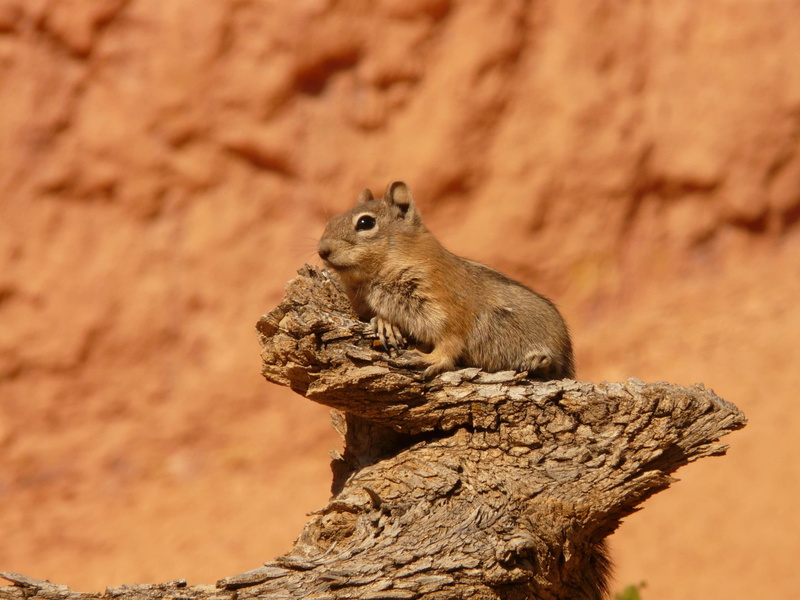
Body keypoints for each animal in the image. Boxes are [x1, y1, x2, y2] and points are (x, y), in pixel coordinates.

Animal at [317, 181, 575, 380]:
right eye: (331, 220)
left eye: (365, 223)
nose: (322, 250)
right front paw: (384, 323)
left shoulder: (448, 311)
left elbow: (450, 343)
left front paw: (428, 358)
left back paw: (539, 361)